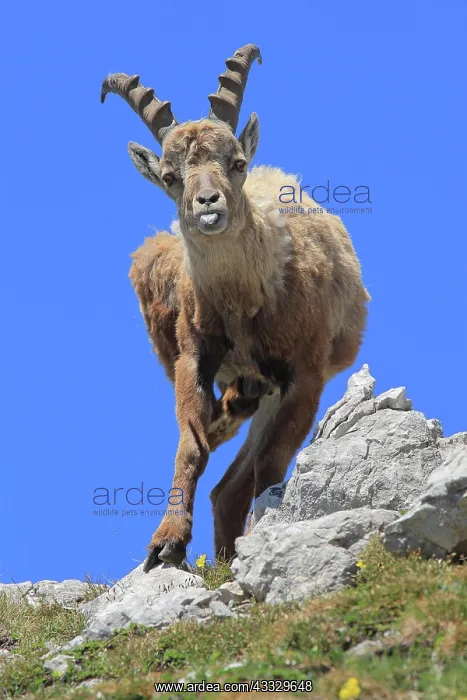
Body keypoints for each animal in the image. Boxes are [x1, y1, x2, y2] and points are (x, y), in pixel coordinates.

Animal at [101, 44, 370, 572]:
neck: (242, 302)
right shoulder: (194, 359)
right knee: (226, 486)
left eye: (237, 161)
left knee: (243, 480)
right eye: (170, 177)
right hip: (249, 386)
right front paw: (166, 543)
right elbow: (190, 448)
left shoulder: (304, 376)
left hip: (275, 391)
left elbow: (270, 467)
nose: (208, 204)